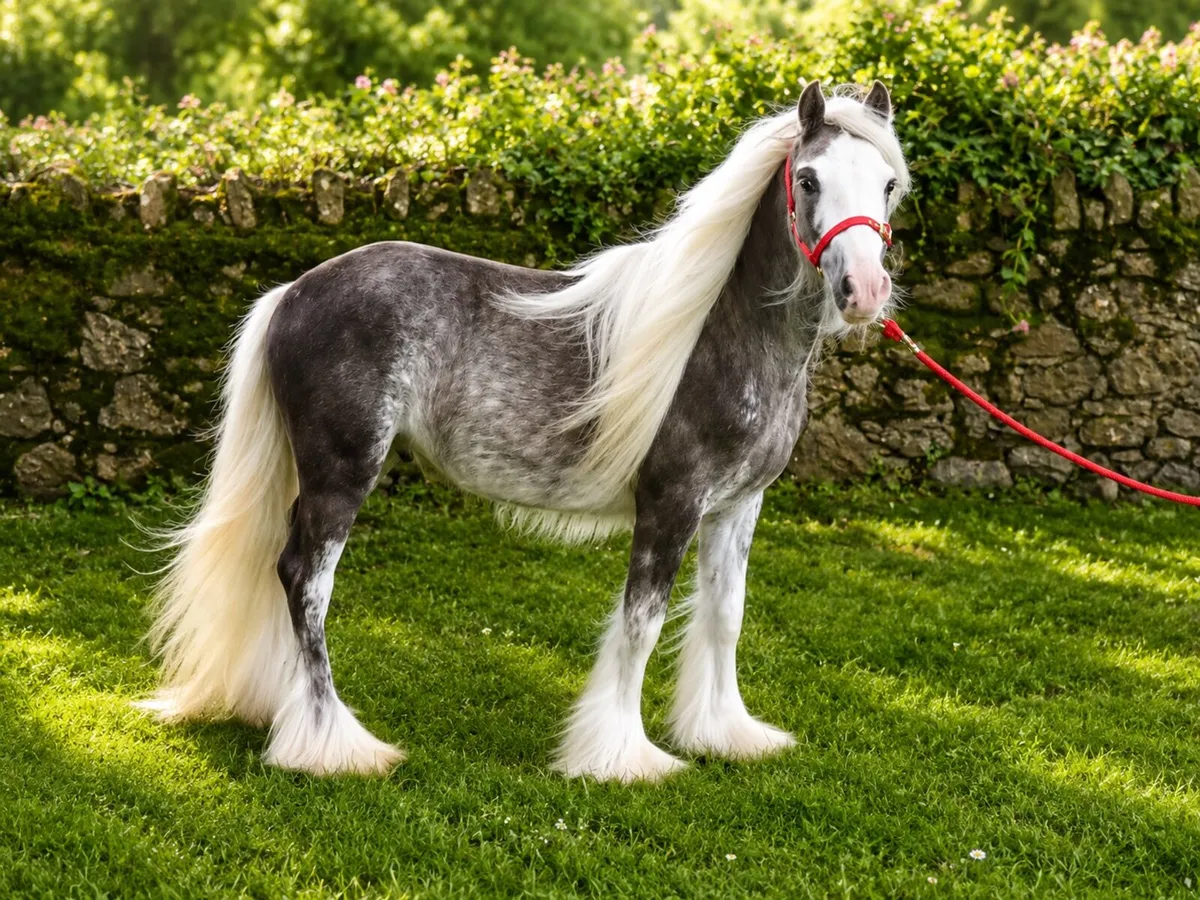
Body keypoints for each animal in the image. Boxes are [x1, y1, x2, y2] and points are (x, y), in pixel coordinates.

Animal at [136, 79, 909, 783]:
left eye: (888, 185)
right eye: (808, 179)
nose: (865, 291)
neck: (720, 333)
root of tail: (292, 293)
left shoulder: (737, 508)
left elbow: (725, 615)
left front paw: (724, 734)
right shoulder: (671, 503)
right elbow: (641, 623)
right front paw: (621, 758)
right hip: (341, 474)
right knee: (306, 581)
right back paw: (333, 746)